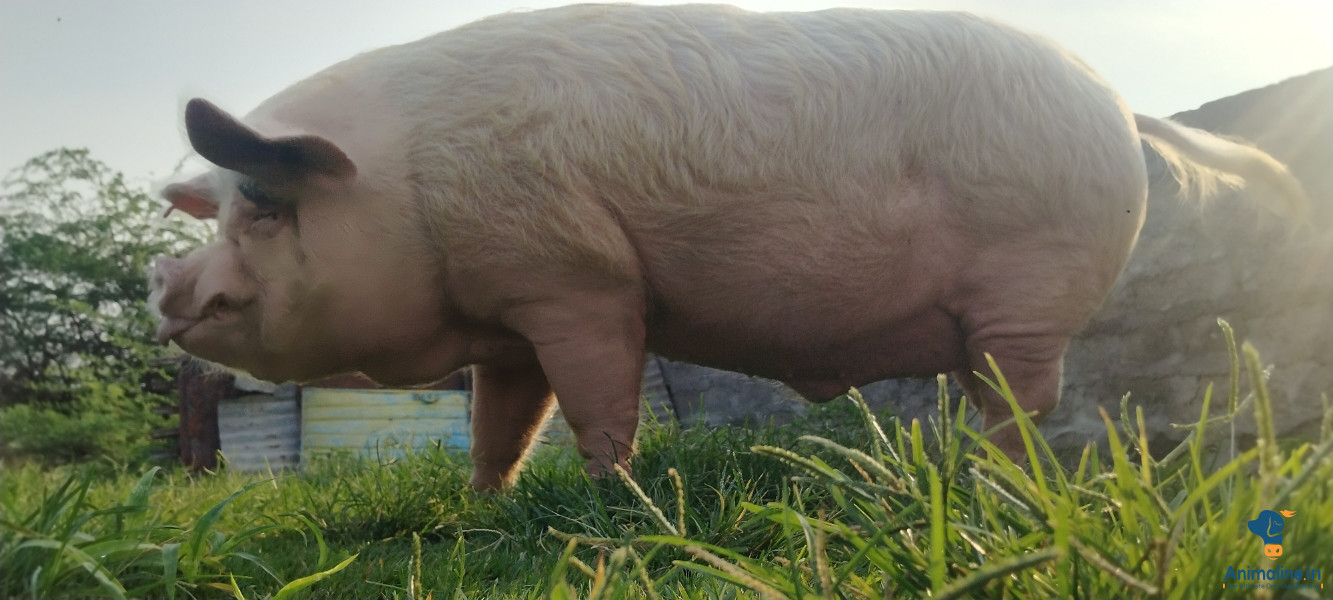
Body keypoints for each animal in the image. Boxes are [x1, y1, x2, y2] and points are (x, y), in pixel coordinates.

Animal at [149, 4, 1306, 490]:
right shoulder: (510, 310)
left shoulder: (579, 279)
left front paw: (611, 501)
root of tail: (1118, 105)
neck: (410, 181)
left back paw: (1000, 491)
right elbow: (500, 423)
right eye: (217, 211)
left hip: (1027, 290)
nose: (168, 289)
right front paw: (482, 504)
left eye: (266, 204)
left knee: (1026, 404)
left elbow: (600, 402)